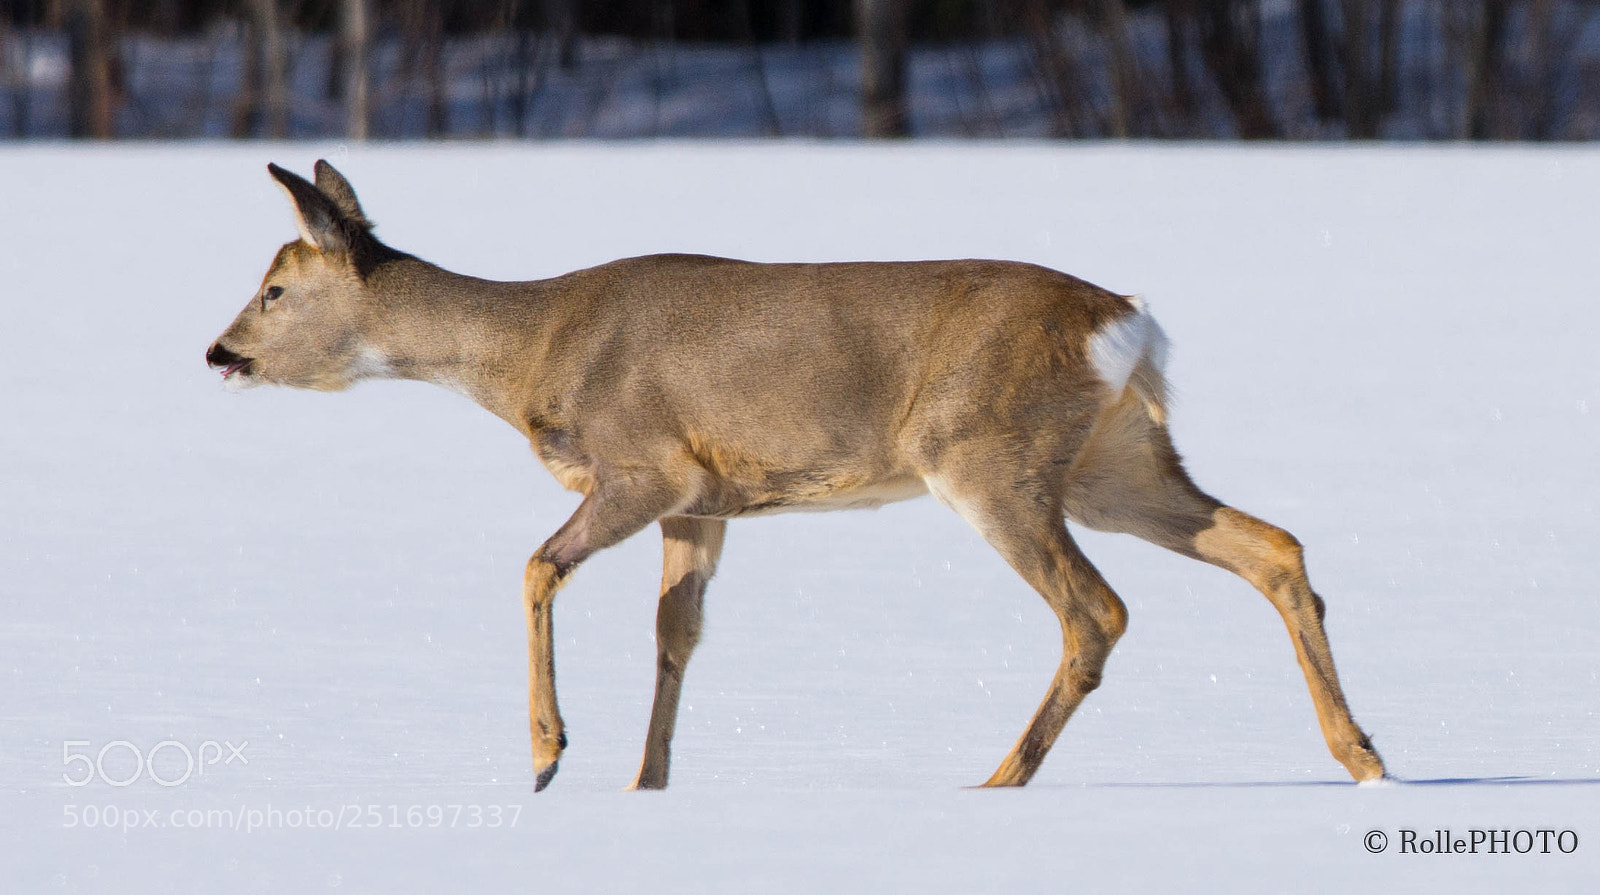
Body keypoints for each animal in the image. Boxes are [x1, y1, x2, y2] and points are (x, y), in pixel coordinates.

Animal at [206, 160, 1387, 791]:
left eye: (273, 288)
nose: (219, 352)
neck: (529, 353)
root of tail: (1126, 322)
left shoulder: (643, 462)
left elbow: (538, 566)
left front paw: (546, 755)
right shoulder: (703, 501)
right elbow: (674, 636)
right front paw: (644, 786)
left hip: (986, 453)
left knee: (1096, 607)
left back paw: (996, 779)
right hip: (1113, 459)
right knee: (1271, 545)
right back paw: (1363, 754)